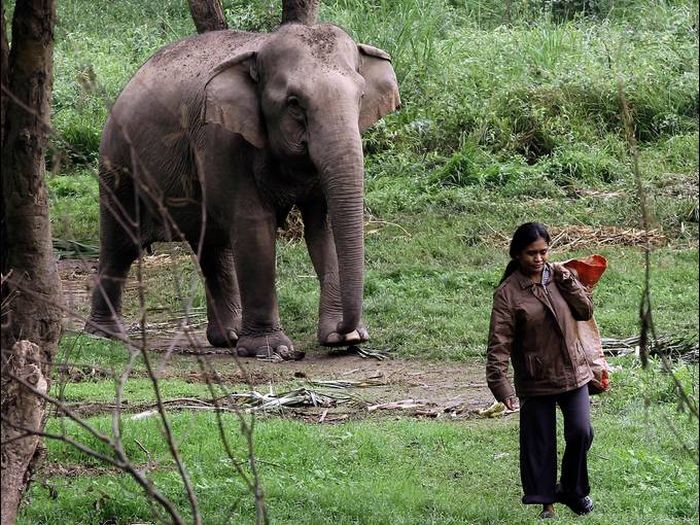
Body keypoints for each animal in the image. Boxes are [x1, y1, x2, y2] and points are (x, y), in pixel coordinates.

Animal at [85, 22, 400, 358]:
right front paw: (271, 349)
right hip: (117, 167)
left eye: (361, 96)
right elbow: (254, 227)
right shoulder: (224, 140)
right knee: (121, 245)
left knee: (212, 245)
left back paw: (228, 337)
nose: (346, 330)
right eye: (293, 102)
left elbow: (323, 227)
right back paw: (105, 333)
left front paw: (342, 340)